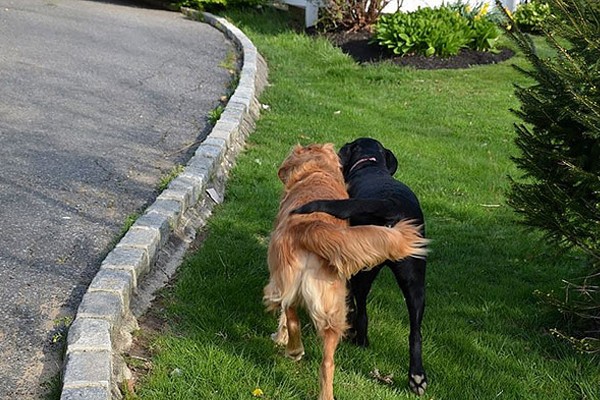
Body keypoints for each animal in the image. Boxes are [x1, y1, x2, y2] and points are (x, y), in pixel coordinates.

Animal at [294, 139, 426, 396]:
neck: (370, 164)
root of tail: (390, 204)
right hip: (415, 278)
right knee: (415, 331)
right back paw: (417, 377)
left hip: (364, 270)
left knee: (361, 307)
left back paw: (360, 338)